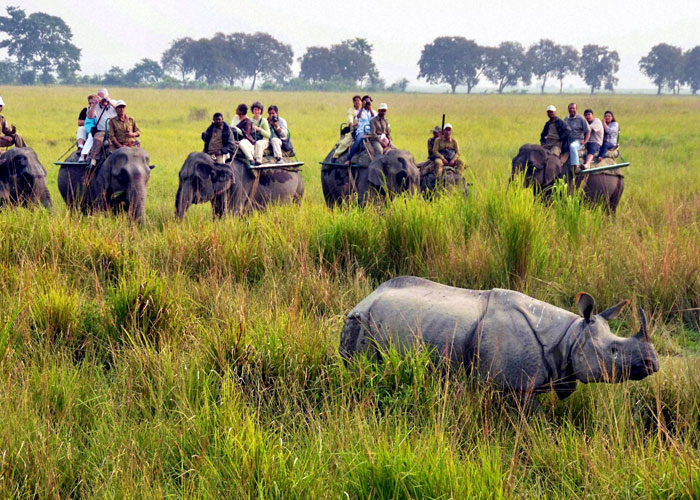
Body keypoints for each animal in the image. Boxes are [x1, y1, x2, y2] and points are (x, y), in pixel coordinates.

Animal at [342, 278, 660, 410]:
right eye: (613, 351)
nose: (653, 364)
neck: (570, 336)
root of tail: (365, 298)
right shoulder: (516, 385)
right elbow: (530, 420)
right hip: (360, 322)